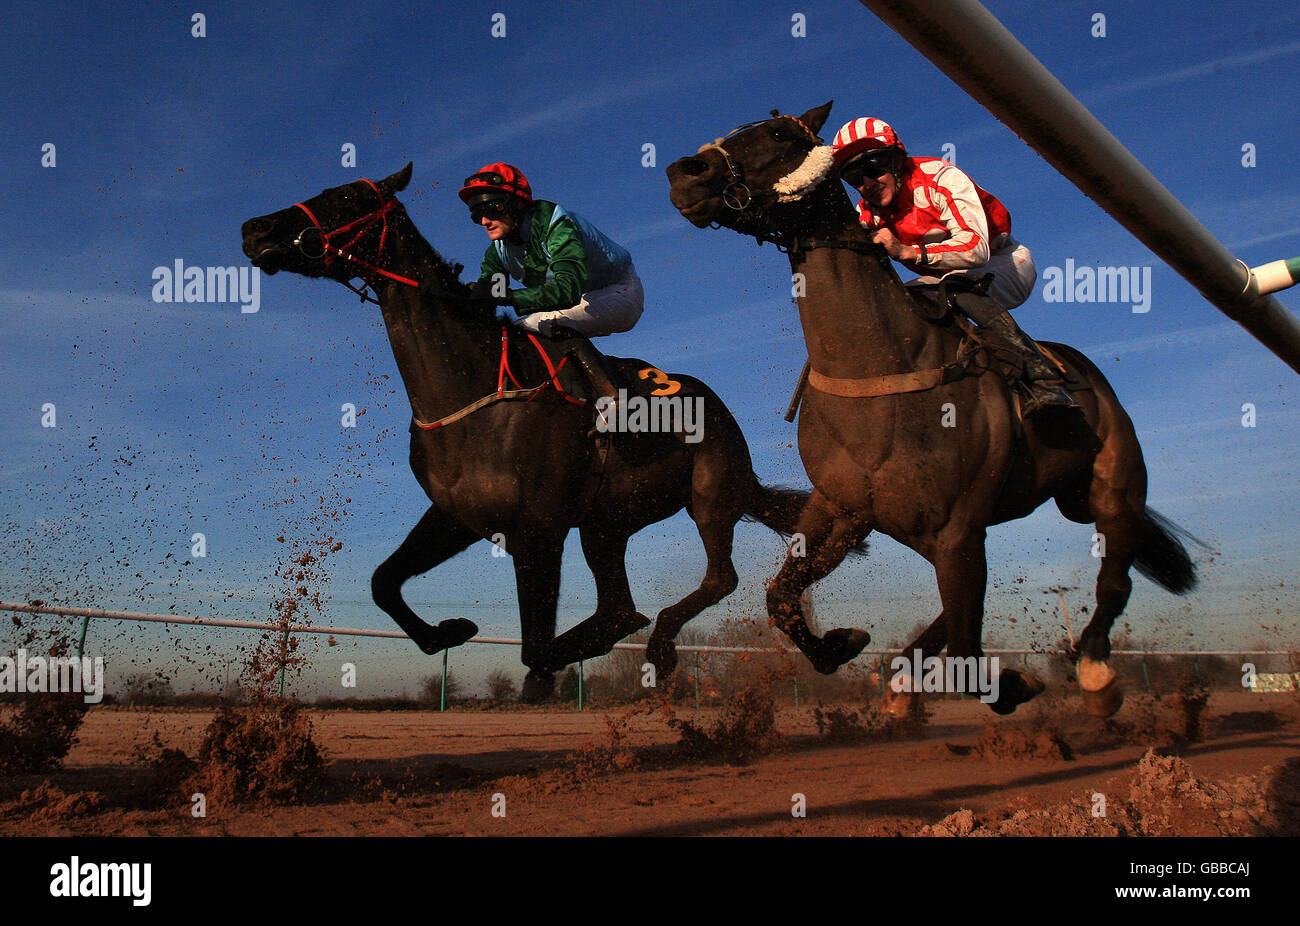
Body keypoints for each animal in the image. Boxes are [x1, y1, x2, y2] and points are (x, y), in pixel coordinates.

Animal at [241, 167, 811, 702]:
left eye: (346, 197)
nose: (254, 228)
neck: (469, 389)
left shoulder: (538, 527)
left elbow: (534, 646)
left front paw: (539, 671)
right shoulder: (456, 514)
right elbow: (384, 582)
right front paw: (451, 629)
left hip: (710, 490)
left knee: (713, 580)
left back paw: (664, 647)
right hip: (606, 523)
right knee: (621, 609)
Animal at [670, 106, 1196, 717]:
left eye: (777, 134)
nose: (685, 172)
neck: (879, 371)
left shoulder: (957, 530)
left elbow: (969, 657)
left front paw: (1016, 684)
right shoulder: (845, 509)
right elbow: (780, 597)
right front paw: (842, 643)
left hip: (1112, 484)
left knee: (1113, 579)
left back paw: (1094, 672)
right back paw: (902, 680)